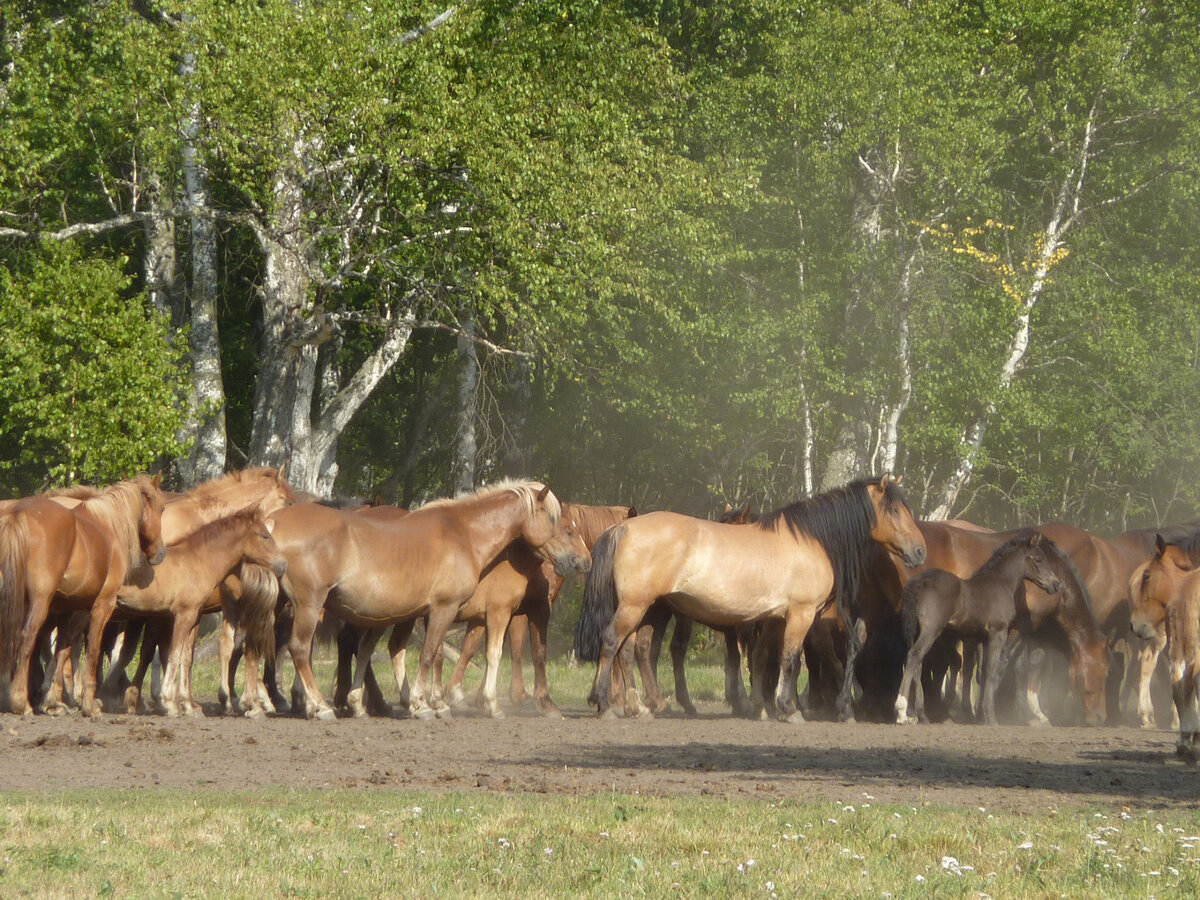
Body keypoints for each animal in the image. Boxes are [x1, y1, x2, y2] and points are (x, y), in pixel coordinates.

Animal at [0, 472, 166, 720]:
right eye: (162, 508)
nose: (161, 553)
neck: (108, 526)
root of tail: (19, 513)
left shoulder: (72, 610)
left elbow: (63, 649)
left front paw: (53, 702)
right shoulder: (102, 605)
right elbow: (93, 651)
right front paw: (89, 704)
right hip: (38, 603)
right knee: (27, 638)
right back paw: (21, 702)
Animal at [255, 482, 588, 724]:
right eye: (564, 526)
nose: (580, 561)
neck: (464, 533)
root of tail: (272, 521)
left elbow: (428, 654)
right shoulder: (447, 609)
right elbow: (430, 654)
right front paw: (423, 704)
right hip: (310, 605)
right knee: (299, 649)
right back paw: (318, 706)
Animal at [576, 475, 921, 724]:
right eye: (894, 510)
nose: (920, 551)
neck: (811, 540)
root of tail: (622, 527)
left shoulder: (775, 617)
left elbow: (770, 658)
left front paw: (766, 706)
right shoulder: (801, 613)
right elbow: (789, 658)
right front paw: (787, 709)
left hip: (643, 609)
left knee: (627, 650)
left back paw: (638, 707)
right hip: (634, 606)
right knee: (612, 642)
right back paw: (604, 704)